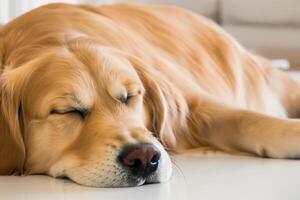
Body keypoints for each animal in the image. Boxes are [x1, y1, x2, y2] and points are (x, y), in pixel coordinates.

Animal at [0, 2, 300, 188]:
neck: (53, 36)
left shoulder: (193, 104)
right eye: (67, 111)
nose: (144, 157)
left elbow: (247, 119)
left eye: (131, 96)